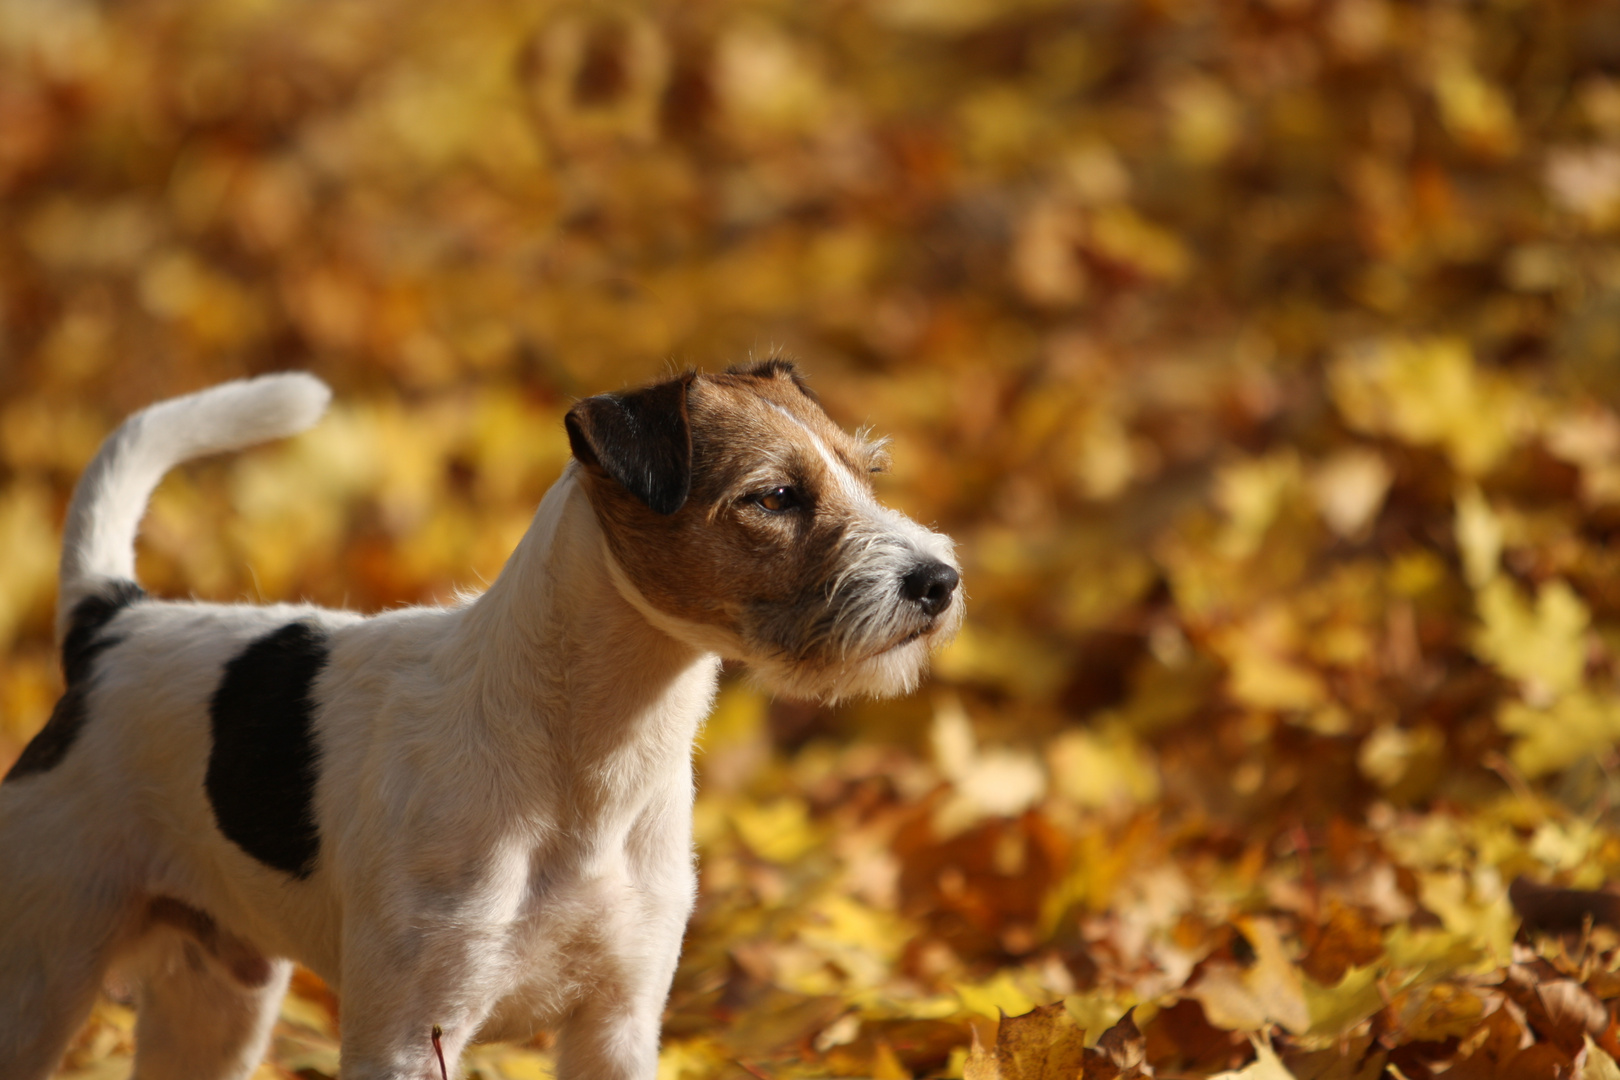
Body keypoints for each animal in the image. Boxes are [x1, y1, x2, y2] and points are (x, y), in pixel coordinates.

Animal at [0, 362, 959, 1080]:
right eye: (772, 497)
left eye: (866, 471)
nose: (940, 580)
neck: (587, 762)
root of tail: (112, 624)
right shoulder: (406, 1037)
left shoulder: (618, 1022)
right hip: (44, 979)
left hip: (216, 1000)